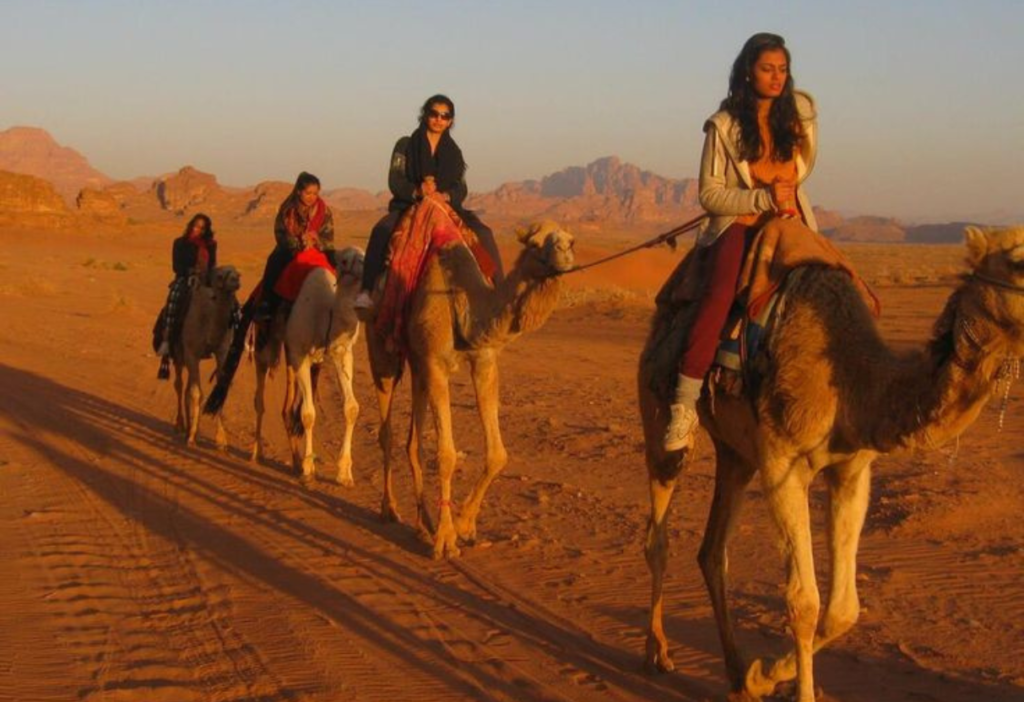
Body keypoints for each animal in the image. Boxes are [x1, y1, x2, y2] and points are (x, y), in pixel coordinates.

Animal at [166, 266, 240, 448]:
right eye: (220, 275)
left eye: (238, 273)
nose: (235, 280)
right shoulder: (192, 353)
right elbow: (196, 393)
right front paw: (192, 436)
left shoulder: (222, 352)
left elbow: (218, 390)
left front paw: (221, 439)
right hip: (179, 354)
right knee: (179, 385)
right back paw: (180, 425)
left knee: (187, 388)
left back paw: (188, 426)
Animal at [249, 247, 366, 483]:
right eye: (344, 260)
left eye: (364, 256)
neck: (326, 314)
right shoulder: (300, 354)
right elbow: (308, 414)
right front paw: (308, 467)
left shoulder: (340, 352)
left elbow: (351, 408)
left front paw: (344, 472)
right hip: (265, 343)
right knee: (260, 395)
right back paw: (258, 452)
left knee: (288, 407)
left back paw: (294, 461)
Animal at [366, 220, 577, 560]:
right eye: (534, 244)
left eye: (572, 240)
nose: (564, 253)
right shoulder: (436, 365)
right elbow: (447, 455)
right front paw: (446, 540)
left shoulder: (484, 361)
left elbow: (498, 454)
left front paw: (464, 524)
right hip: (383, 347)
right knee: (388, 429)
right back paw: (391, 510)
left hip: (418, 364)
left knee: (414, 442)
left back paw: (424, 522)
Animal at [634, 227, 1024, 702]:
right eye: (1018, 262)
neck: (854, 384)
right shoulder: (781, 463)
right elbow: (803, 601)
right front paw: (783, 682)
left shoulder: (851, 471)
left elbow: (843, 610)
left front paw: (761, 675)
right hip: (658, 404)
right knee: (659, 532)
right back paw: (658, 652)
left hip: (735, 454)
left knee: (712, 552)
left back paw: (737, 674)